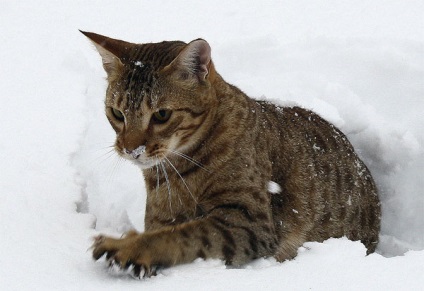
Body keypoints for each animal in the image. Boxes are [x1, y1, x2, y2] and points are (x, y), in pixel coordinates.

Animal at [82, 30, 380, 280]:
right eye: (117, 113)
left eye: (162, 115)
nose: (130, 149)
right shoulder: (162, 217)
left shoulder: (250, 222)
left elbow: (185, 234)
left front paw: (129, 247)